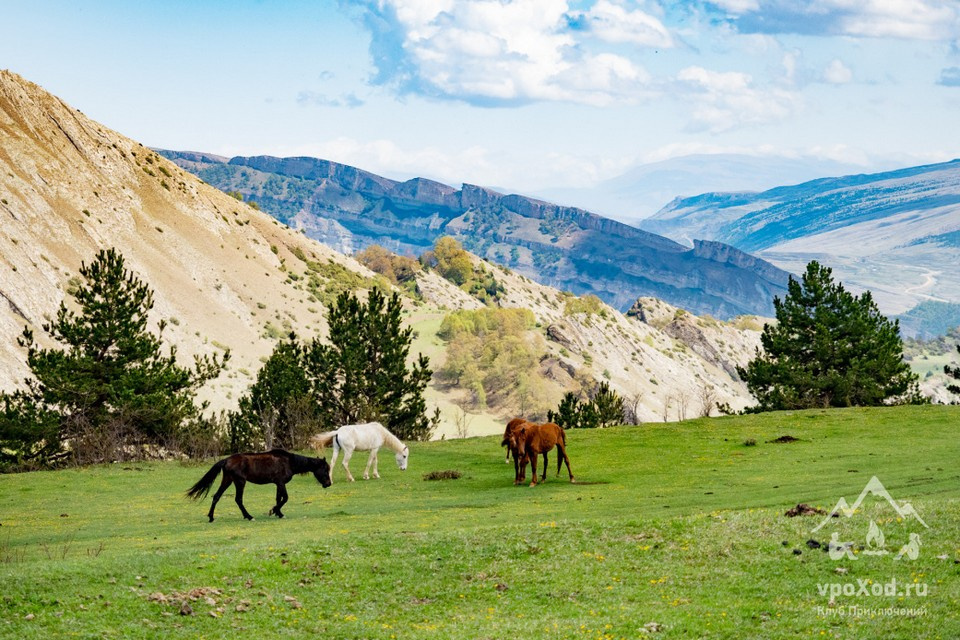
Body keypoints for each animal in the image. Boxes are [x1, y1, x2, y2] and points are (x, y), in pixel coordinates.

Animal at [186, 448, 332, 524]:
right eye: (325, 469)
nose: (328, 484)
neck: (289, 462)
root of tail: (226, 460)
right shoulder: (281, 483)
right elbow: (285, 498)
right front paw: (273, 510)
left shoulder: (278, 484)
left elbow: (278, 498)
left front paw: (278, 513)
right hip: (240, 482)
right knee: (238, 499)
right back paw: (249, 516)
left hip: (227, 480)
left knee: (216, 496)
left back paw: (211, 517)